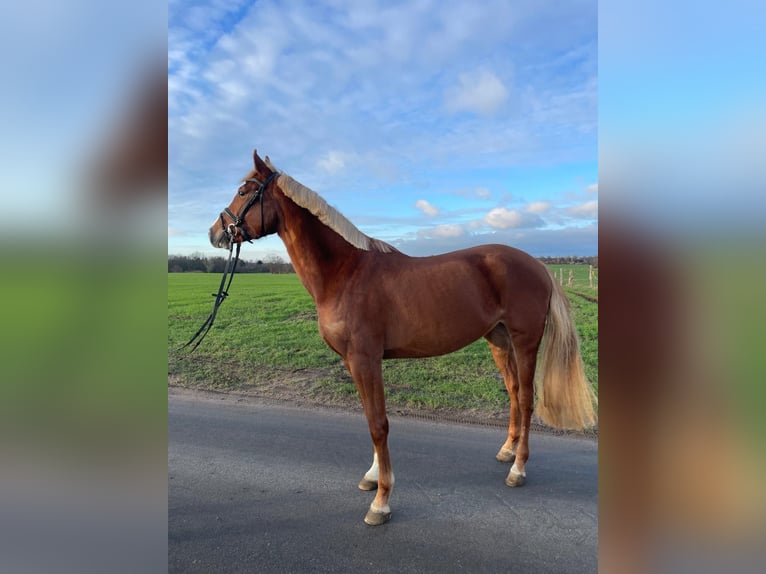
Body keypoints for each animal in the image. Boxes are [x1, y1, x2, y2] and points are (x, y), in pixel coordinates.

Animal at [210, 151, 600, 528]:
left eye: (244, 191)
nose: (216, 232)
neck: (345, 272)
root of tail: (539, 266)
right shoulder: (356, 362)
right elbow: (371, 418)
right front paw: (372, 476)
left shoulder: (365, 359)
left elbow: (378, 424)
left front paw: (381, 501)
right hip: (499, 342)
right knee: (515, 395)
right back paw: (507, 452)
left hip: (525, 341)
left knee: (527, 399)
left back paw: (518, 469)